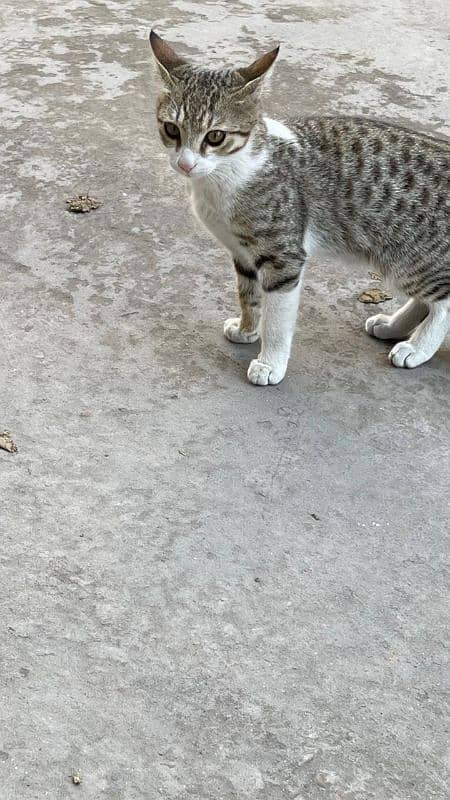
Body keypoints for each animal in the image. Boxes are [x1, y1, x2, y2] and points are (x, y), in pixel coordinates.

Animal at [150, 32, 450, 390]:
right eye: (172, 130)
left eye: (216, 136)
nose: (185, 164)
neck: (226, 175)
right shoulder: (241, 251)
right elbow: (248, 294)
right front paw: (247, 328)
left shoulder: (283, 257)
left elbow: (277, 319)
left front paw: (270, 362)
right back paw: (393, 326)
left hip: (414, 253)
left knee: (444, 302)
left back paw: (418, 346)